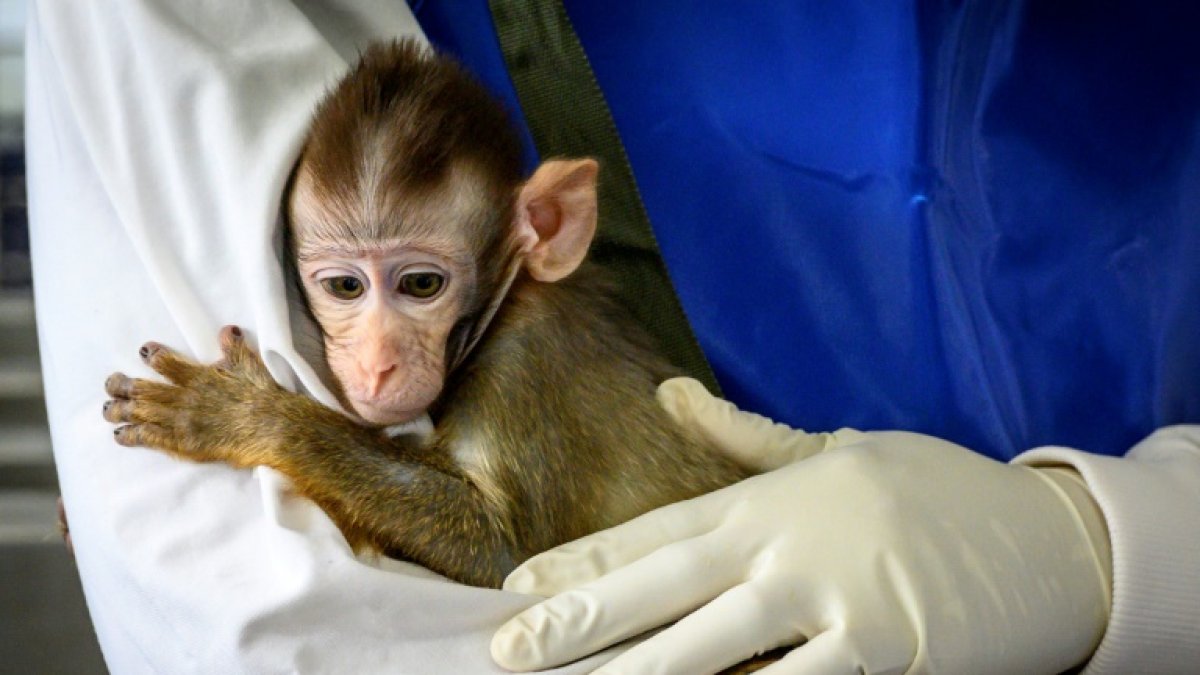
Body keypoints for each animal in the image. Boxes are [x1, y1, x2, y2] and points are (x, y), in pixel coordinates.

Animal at [100, 40, 750, 590]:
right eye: (345, 286)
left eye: (421, 284)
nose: (377, 363)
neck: (506, 303)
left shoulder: (528, 367)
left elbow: (509, 554)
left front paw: (247, 416)